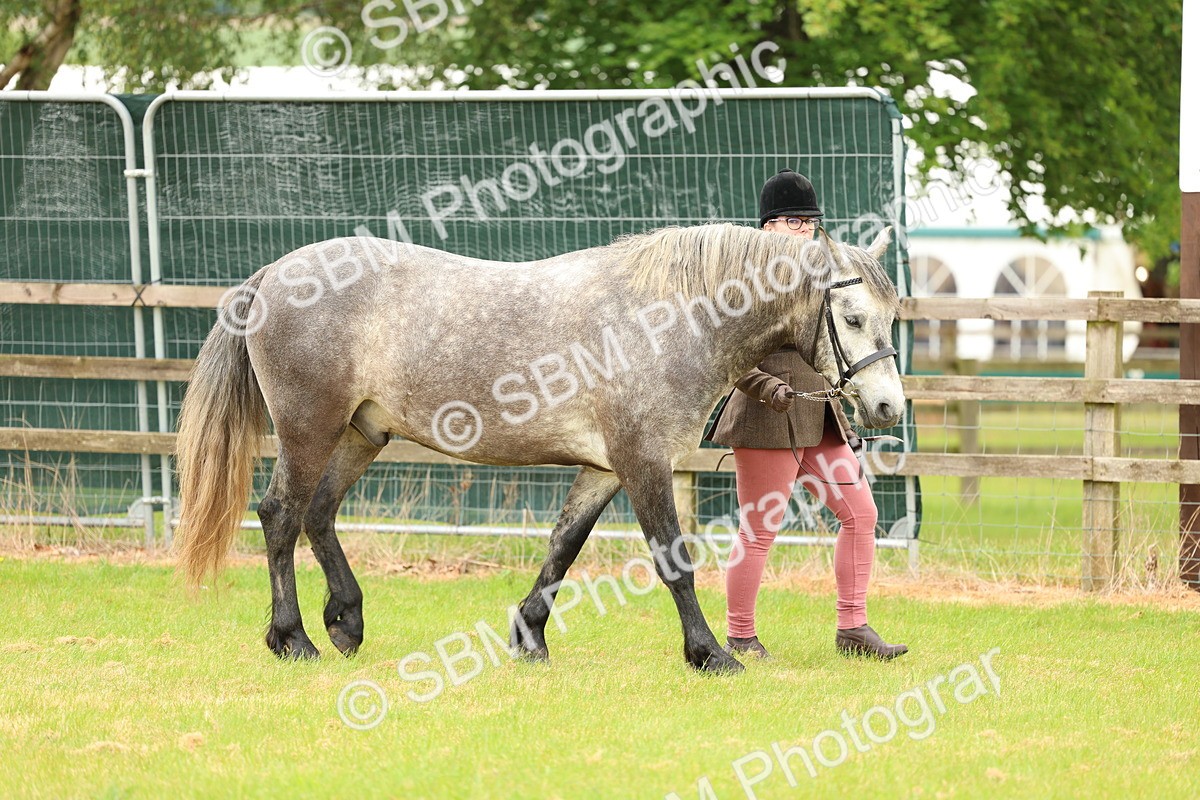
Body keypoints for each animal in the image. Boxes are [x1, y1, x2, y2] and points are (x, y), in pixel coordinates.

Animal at [173, 223, 904, 673]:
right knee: (281, 517)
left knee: (320, 515)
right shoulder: (643, 462)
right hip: (310, 429)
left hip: (361, 433)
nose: (889, 408)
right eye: (852, 317)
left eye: (892, 316)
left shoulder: (604, 469)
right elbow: (674, 561)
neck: (670, 318)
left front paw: (528, 639)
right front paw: (709, 654)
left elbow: (561, 551)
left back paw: (345, 621)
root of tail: (273, 274)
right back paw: (292, 639)